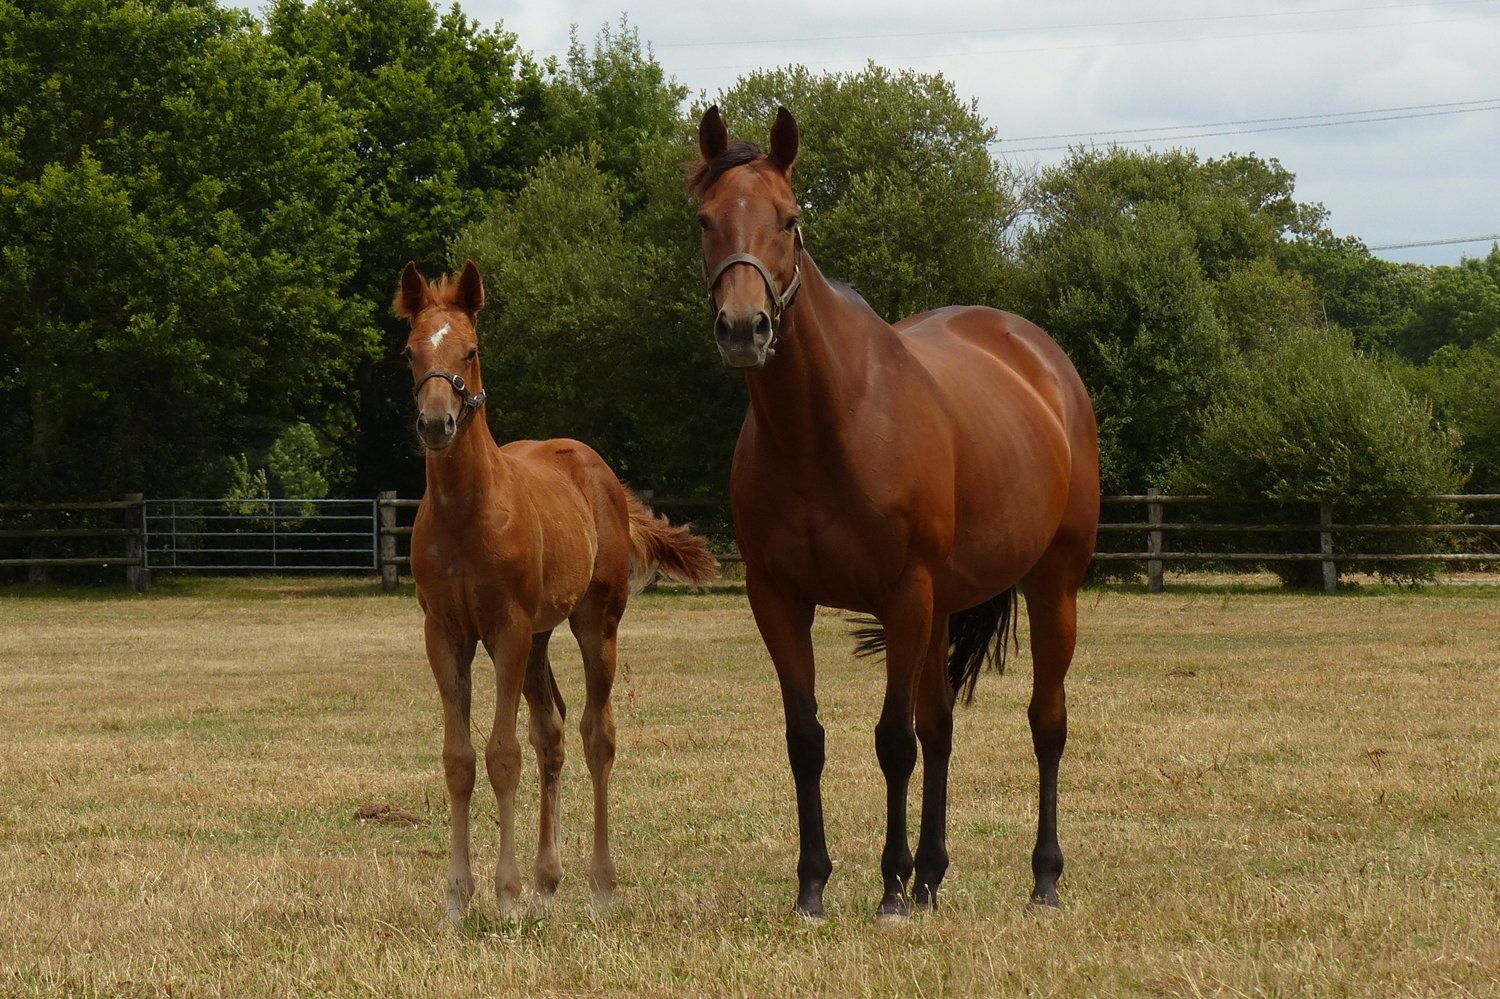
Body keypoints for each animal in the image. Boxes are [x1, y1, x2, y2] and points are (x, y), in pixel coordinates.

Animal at [395, 260, 718, 929]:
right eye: (410, 352)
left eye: (472, 350)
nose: (435, 424)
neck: (466, 513)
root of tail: (599, 469)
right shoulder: (445, 633)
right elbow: (460, 759)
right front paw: (458, 901)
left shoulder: (509, 628)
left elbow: (502, 754)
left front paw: (506, 896)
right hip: (540, 639)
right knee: (555, 733)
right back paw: (549, 881)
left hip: (595, 622)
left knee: (598, 734)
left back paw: (599, 886)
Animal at [691, 107, 1099, 920]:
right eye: (705, 220)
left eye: (790, 218)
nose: (745, 328)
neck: (828, 425)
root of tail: (1041, 358)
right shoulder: (777, 598)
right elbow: (808, 739)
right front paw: (814, 884)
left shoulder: (903, 593)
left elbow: (892, 742)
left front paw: (888, 888)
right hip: (945, 603)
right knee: (941, 727)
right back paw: (933, 876)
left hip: (1052, 586)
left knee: (1046, 723)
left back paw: (1042, 878)